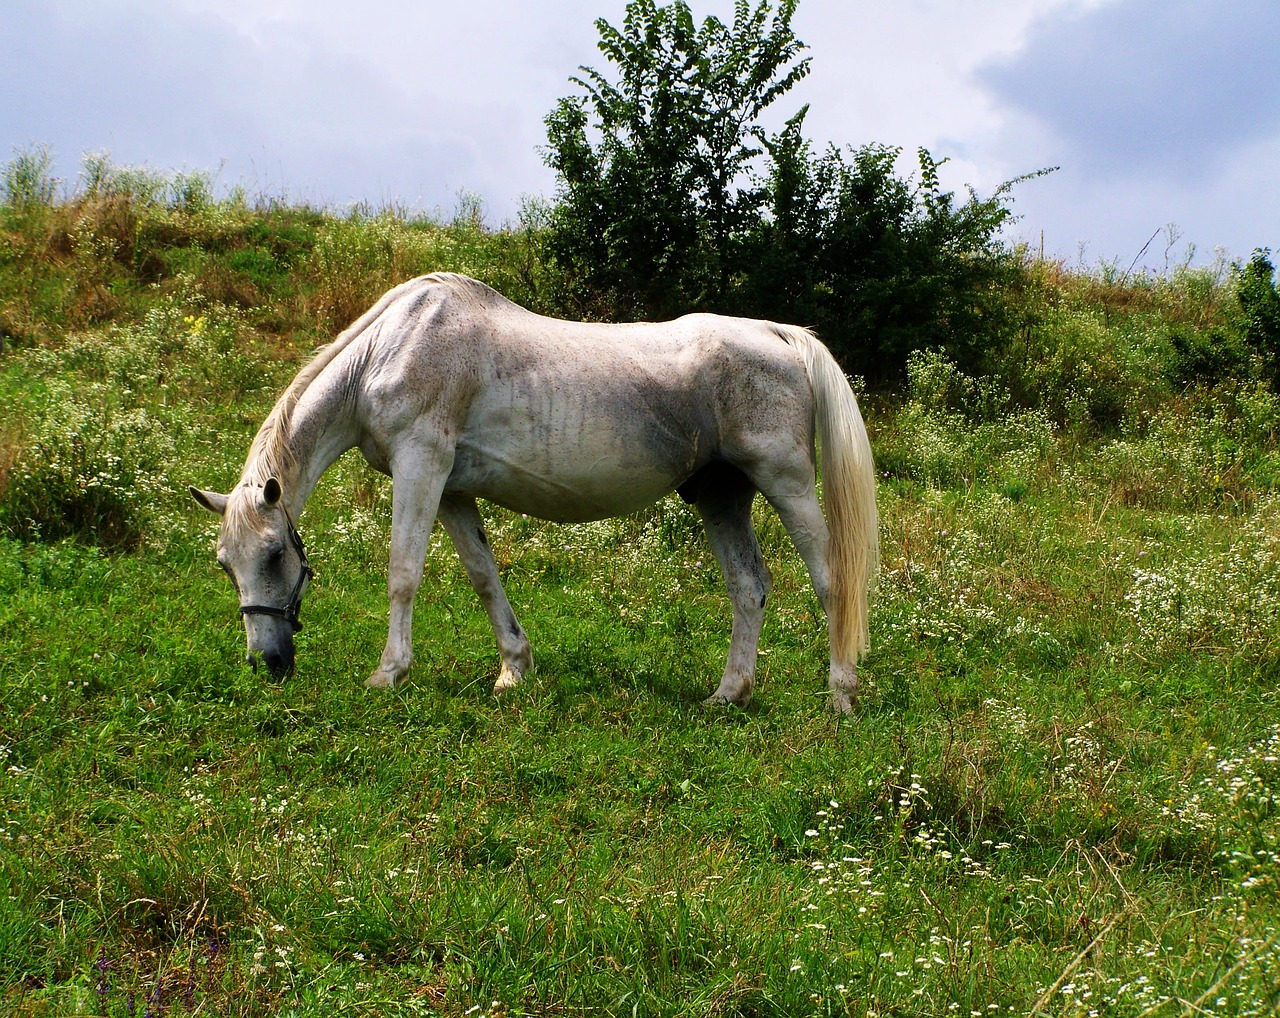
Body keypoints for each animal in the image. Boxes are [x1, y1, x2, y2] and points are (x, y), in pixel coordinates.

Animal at [194, 275, 880, 711]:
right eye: (226, 565)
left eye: (276, 555)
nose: (267, 663)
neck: (388, 351)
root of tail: (780, 334)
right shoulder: (451, 490)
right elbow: (483, 576)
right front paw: (513, 669)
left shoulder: (422, 466)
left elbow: (403, 574)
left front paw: (388, 673)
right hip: (720, 496)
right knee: (748, 587)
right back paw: (728, 693)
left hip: (785, 482)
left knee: (831, 581)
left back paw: (840, 697)